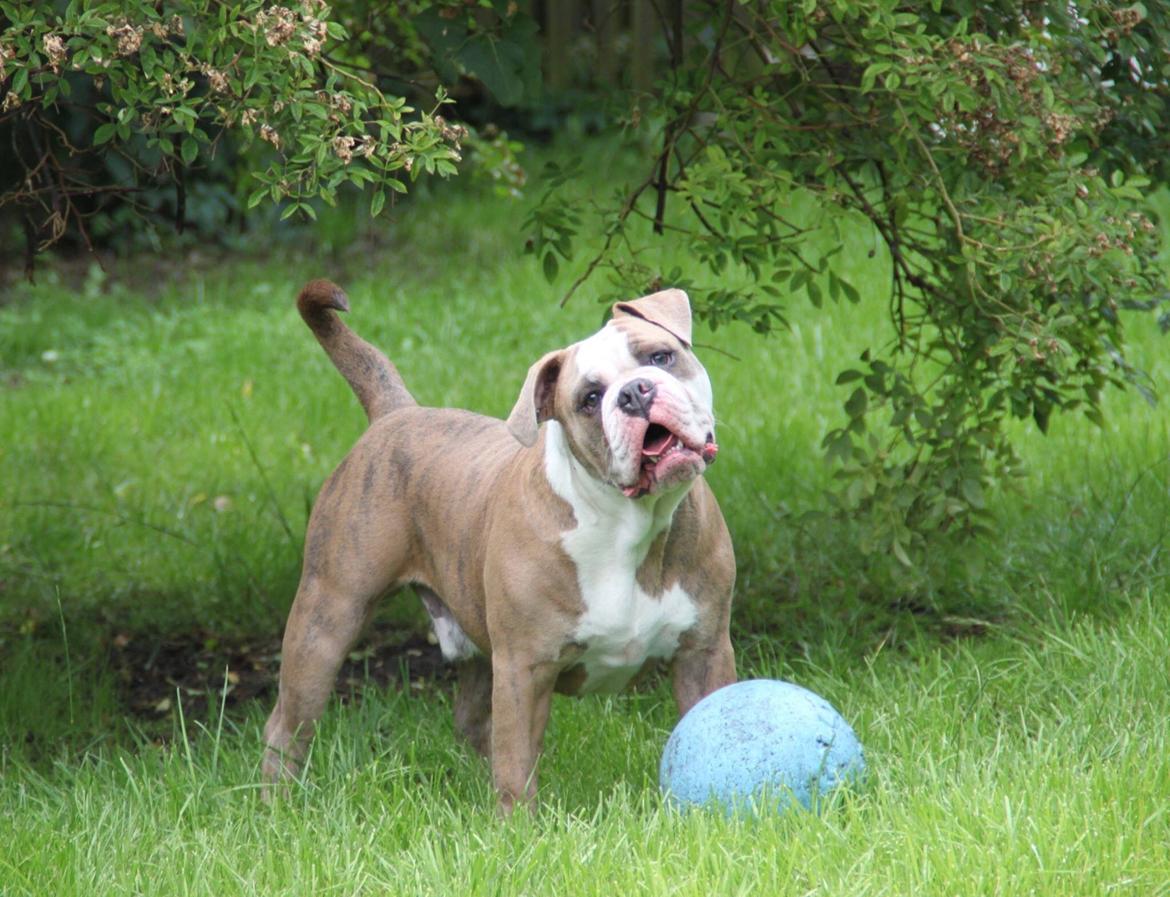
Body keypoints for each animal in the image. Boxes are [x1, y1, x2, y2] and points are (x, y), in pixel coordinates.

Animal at [265, 283, 734, 813]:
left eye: (660, 356)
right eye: (590, 398)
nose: (635, 392)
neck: (629, 525)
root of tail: (397, 411)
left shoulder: (705, 652)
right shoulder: (523, 669)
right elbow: (516, 762)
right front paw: (518, 826)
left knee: (472, 722)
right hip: (327, 618)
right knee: (287, 726)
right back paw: (277, 805)